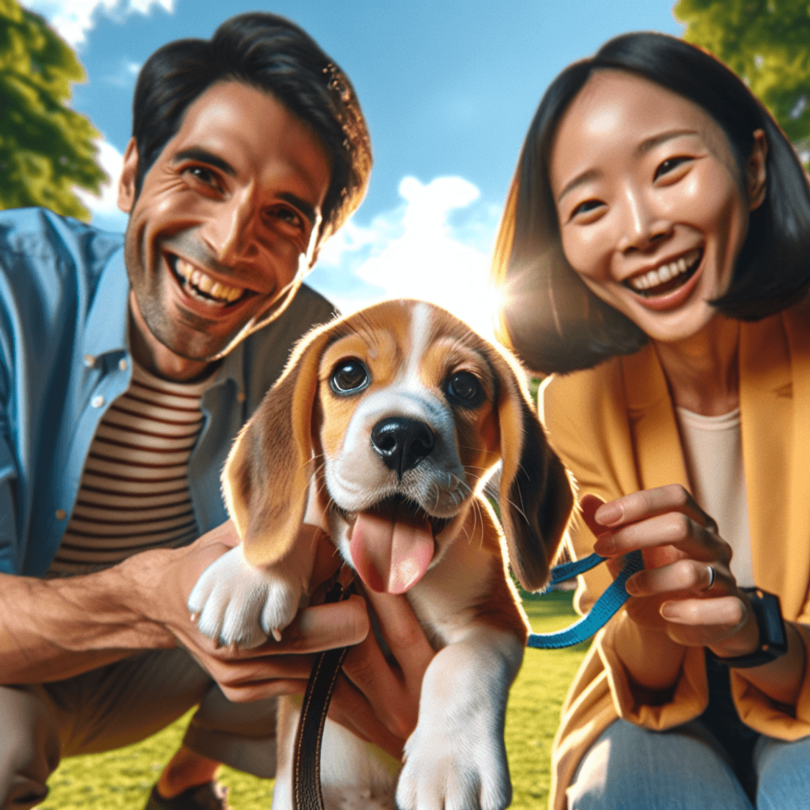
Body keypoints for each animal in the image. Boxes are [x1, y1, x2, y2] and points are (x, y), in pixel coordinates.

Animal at [187, 300, 572, 808]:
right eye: (348, 374)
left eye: (465, 386)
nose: (404, 437)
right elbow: (305, 522)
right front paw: (249, 575)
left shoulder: (497, 618)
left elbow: (462, 665)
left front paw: (449, 767)